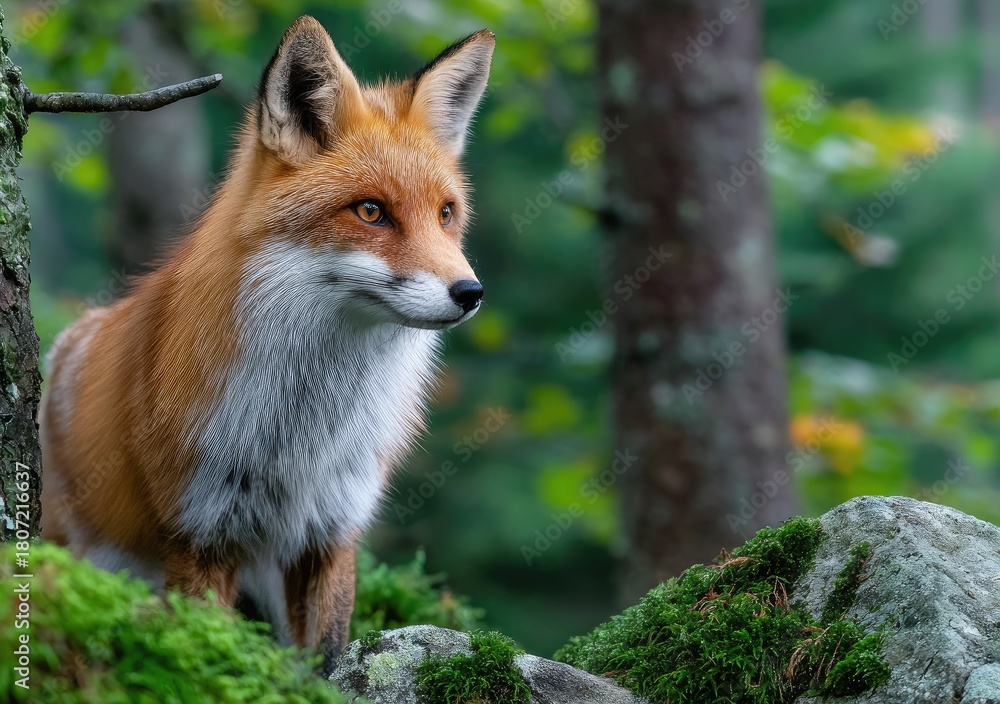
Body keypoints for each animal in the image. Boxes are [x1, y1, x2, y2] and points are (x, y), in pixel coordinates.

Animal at [39, 16, 494, 672]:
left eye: (446, 213)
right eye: (371, 211)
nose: (471, 292)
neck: (299, 436)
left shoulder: (331, 529)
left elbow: (326, 658)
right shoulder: (200, 531)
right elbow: (208, 654)